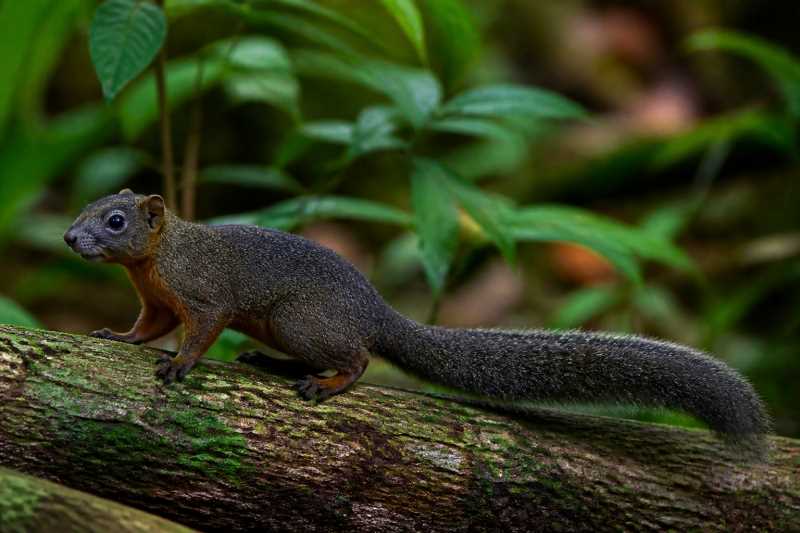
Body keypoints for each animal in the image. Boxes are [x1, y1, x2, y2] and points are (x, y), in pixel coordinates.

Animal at [64, 190, 768, 448]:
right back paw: (271, 363)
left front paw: (181, 365)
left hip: (300, 319)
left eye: (116, 220)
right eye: (91, 207)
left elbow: (199, 332)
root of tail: (377, 311)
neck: (159, 261)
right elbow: (145, 328)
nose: (70, 238)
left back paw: (325, 383)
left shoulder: (202, 295)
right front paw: (114, 334)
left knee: (358, 359)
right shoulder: (158, 299)